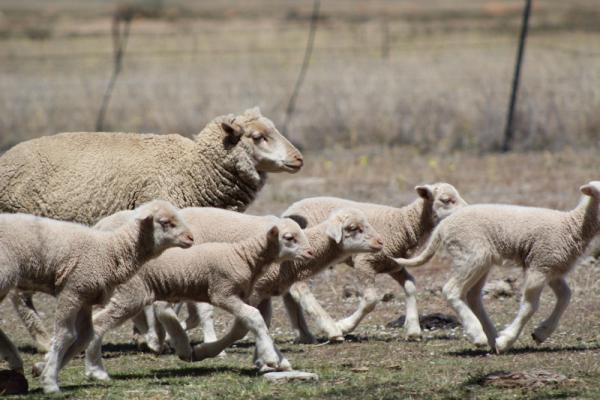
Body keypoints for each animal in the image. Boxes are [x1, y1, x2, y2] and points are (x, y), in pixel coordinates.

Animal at [0, 107, 302, 354]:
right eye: (258, 136)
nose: (298, 159)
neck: (192, 169)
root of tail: (5, 160)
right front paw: (159, 337)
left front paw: (148, 335)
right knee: (19, 294)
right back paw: (43, 340)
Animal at [0, 198, 193, 392]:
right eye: (165, 222)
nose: (191, 238)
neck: (109, 251)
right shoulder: (72, 291)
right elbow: (65, 335)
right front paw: (50, 381)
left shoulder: (85, 297)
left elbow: (84, 338)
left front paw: (45, 370)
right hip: (5, 276)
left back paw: (13, 359)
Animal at [84, 216, 314, 382]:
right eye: (289, 238)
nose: (311, 253)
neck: (242, 256)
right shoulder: (222, 292)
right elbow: (254, 317)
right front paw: (271, 358)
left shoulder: (241, 295)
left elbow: (248, 325)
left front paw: (278, 359)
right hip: (133, 294)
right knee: (99, 322)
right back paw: (96, 370)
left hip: (160, 286)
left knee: (159, 310)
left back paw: (181, 345)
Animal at [278, 183, 466, 342]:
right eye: (446, 200)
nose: (466, 213)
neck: (402, 223)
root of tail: (287, 213)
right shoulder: (365, 262)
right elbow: (370, 300)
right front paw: (344, 326)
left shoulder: (392, 265)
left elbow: (411, 286)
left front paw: (413, 330)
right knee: (299, 288)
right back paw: (331, 330)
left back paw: (304, 335)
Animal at [392, 181, 600, 354]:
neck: (572, 225)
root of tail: (442, 227)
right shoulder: (539, 266)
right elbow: (529, 306)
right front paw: (508, 339)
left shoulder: (552, 268)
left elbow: (565, 296)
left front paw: (541, 333)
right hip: (472, 254)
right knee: (451, 290)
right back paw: (478, 335)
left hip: (481, 261)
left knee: (472, 296)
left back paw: (492, 338)